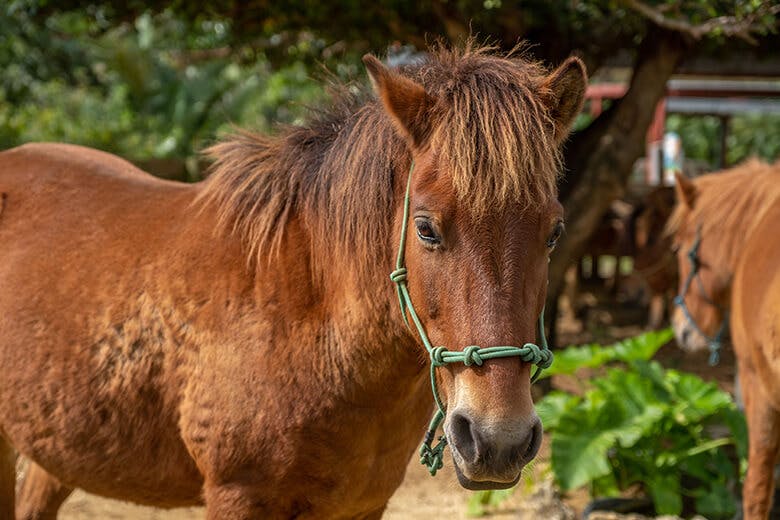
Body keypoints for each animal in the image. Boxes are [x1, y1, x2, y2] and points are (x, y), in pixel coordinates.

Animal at [0, 44, 586, 519]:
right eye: (426, 227)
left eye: (554, 232)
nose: (498, 439)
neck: (307, 321)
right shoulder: (239, 498)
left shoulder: (361, 507)